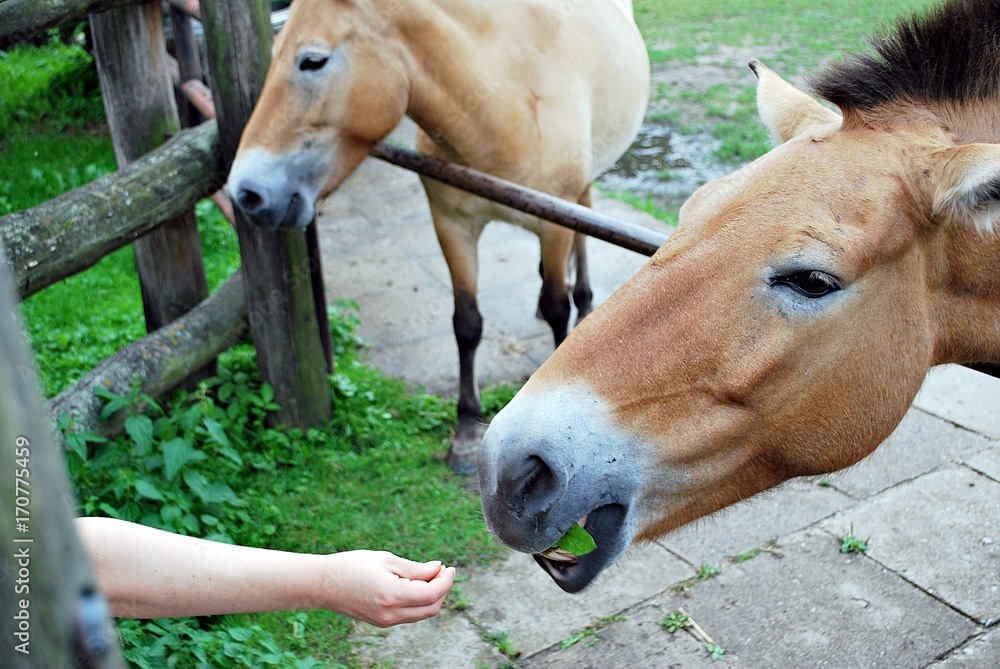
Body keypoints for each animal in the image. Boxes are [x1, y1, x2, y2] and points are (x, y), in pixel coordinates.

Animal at [227, 0, 648, 472]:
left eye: (312, 61)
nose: (245, 192)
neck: (507, 103)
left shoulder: (553, 224)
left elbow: (558, 307)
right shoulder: (451, 224)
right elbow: (466, 324)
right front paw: (464, 430)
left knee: (585, 223)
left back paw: (586, 296)